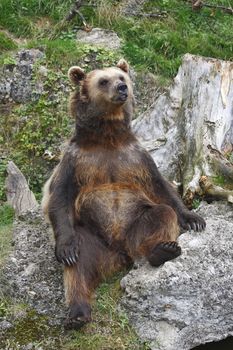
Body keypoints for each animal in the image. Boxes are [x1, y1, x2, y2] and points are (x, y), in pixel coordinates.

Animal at [42, 58, 206, 330]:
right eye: (103, 80)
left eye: (121, 77)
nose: (122, 88)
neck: (107, 137)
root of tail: (119, 252)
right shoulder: (75, 160)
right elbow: (58, 197)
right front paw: (64, 249)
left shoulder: (136, 156)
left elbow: (162, 188)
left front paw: (194, 218)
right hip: (91, 238)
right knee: (78, 267)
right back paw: (77, 312)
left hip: (136, 226)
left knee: (161, 215)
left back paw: (163, 250)